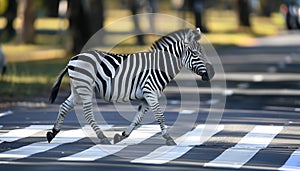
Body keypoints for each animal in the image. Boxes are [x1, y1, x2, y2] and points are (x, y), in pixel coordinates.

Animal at [47, 28, 214, 146]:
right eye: (195, 53)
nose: (210, 74)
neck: (159, 66)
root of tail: (73, 59)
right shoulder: (150, 92)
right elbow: (160, 115)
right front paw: (168, 138)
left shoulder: (146, 96)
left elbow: (138, 119)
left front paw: (122, 136)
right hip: (85, 88)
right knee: (88, 114)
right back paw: (102, 137)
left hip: (77, 89)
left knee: (64, 106)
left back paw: (52, 133)